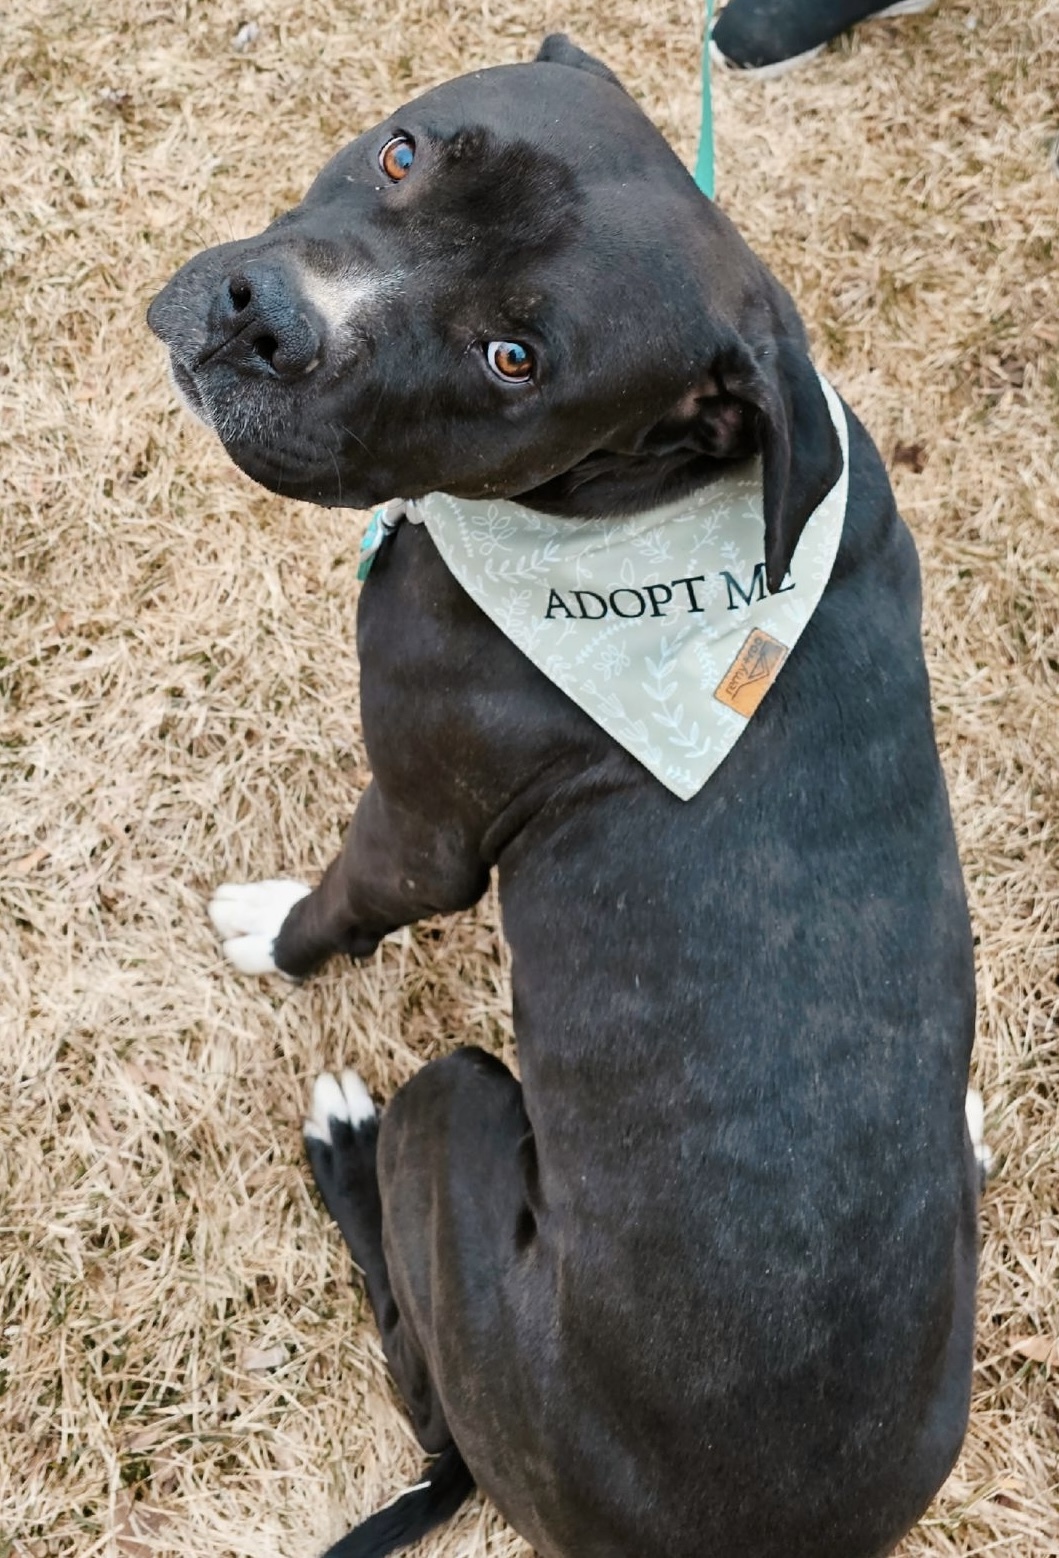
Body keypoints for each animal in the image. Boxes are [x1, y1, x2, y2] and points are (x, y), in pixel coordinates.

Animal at [147, 36, 978, 1558]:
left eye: (513, 360)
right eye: (404, 151)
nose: (266, 323)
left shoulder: (422, 828)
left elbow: (341, 903)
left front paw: (270, 936)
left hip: (460, 1115)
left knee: (422, 1375)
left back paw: (347, 1146)